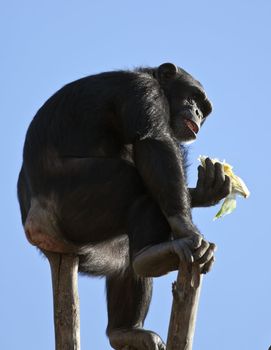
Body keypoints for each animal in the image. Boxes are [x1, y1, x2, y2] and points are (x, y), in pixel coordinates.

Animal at [17, 63, 232, 350]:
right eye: (193, 98)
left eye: (203, 108)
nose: (197, 112)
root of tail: (37, 230)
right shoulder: (142, 92)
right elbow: (153, 144)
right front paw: (187, 229)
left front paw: (206, 190)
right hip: (75, 206)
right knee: (135, 182)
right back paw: (154, 255)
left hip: (91, 249)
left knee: (125, 263)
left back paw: (126, 330)